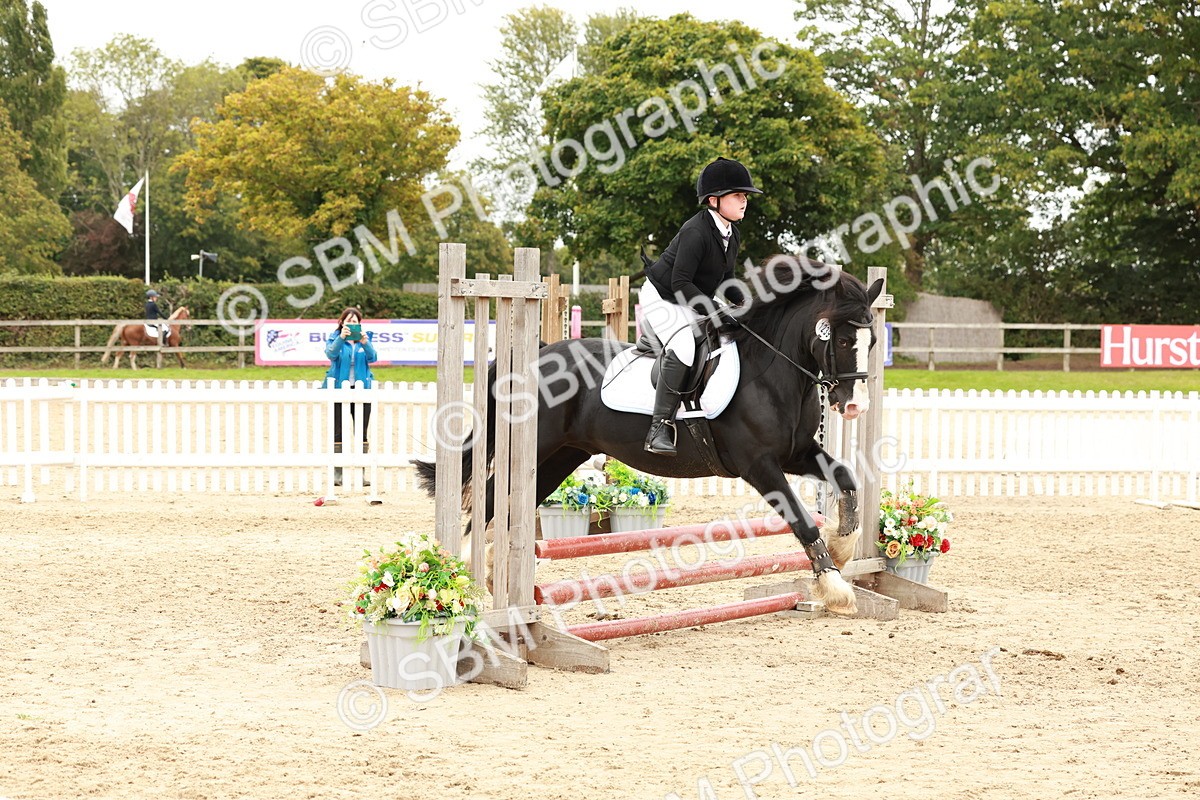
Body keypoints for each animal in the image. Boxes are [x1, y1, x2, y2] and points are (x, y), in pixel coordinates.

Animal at [416, 263, 883, 616]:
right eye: (843, 338)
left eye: (872, 340)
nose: (855, 406)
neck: (772, 371)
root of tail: (541, 352)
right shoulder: (759, 466)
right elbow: (802, 520)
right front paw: (835, 587)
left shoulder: (796, 454)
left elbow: (845, 479)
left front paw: (843, 549)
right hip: (538, 449)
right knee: (489, 499)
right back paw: (465, 576)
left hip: (560, 457)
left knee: (506, 502)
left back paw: (494, 572)